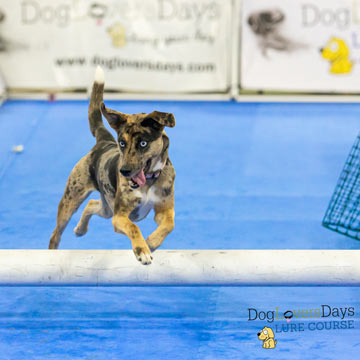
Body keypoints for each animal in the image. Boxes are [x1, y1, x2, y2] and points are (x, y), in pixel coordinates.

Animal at [48, 67, 176, 264]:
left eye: (143, 143)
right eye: (122, 143)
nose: (124, 171)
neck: (148, 182)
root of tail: (103, 141)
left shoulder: (164, 209)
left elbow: (169, 224)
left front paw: (151, 242)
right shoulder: (119, 217)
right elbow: (134, 228)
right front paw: (142, 249)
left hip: (106, 206)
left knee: (92, 204)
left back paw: (80, 229)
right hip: (71, 200)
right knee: (56, 233)